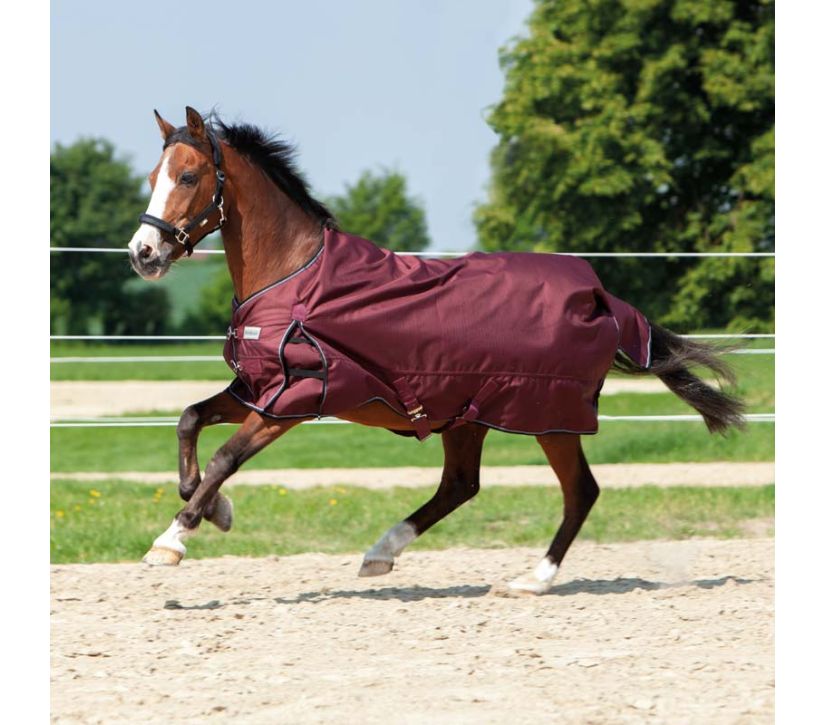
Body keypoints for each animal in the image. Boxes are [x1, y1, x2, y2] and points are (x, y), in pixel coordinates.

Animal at [127, 107, 745, 594]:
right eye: (154, 175)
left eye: (188, 175)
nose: (143, 253)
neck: (293, 275)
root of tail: (599, 296)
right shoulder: (256, 390)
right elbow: (189, 420)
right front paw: (216, 510)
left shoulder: (295, 398)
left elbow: (225, 457)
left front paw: (172, 539)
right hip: (467, 416)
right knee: (461, 486)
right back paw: (382, 553)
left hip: (548, 416)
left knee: (579, 491)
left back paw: (532, 579)